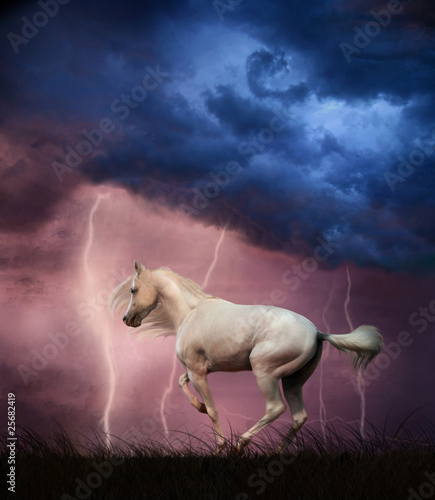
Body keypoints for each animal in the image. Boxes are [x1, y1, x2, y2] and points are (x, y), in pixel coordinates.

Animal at [110, 264, 384, 456]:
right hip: (293, 381)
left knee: (275, 408)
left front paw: (219, 447)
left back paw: (239, 445)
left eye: (133, 290)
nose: (127, 320)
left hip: (265, 373)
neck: (191, 312)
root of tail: (317, 332)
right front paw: (198, 407)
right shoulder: (197, 370)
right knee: (299, 416)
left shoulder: (198, 372)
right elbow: (180, 382)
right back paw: (274, 453)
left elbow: (212, 409)